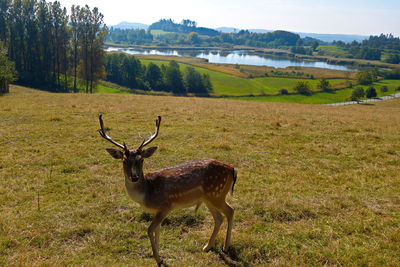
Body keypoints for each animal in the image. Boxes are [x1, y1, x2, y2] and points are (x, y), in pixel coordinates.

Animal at [99, 114, 238, 266]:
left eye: (141, 160)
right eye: (124, 161)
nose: (134, 177)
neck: (147, 193)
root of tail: (232, 168)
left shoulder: (165, 206)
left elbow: (149, 230)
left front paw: (158, 259)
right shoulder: (157, 211)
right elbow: (157, 230)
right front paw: (159, 254)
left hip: (216, 194)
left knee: (230, 211)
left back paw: (225, 247)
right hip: (208, 198)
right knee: (219, 218)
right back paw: (207, 247)